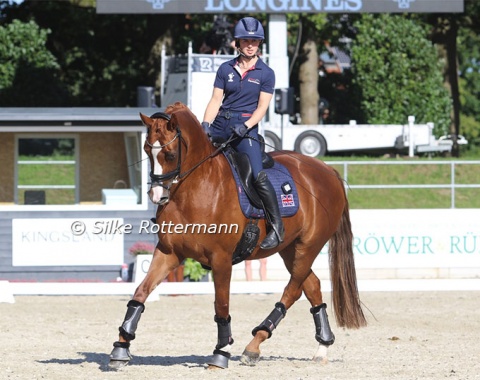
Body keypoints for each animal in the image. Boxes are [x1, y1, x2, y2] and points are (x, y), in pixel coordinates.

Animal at [108, 102, 364, 370]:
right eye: (147, 150)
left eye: (168, 154)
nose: (157, 196)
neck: (196, 189)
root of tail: (328, 170)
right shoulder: (169, 253)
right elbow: (140, 292)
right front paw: (121, 348)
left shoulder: (221, 259)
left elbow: (221, 305)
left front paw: (221, 352)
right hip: (290, 250)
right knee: (312, 285)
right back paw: (321, 347)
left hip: (308, 247)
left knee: (292, 290)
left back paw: (255, 344)